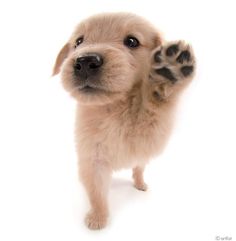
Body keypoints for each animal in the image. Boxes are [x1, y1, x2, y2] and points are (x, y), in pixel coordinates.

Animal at [53, 11, 195, 230]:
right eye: (78, 41)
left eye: (132, 41)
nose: (85, 61)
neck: (114, 107)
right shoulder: (92, 158)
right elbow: (96, 191)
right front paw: (98, 216)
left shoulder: (152, 133)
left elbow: (157, 106)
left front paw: (167, 75)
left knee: (139, 167)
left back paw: (140, 183)